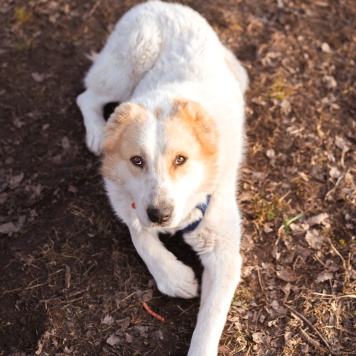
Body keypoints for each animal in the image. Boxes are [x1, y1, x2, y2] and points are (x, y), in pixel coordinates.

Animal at [76, 1, 248, 354]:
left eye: (181, 160)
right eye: (137, 161)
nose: (160, 214)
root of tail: (160, 4)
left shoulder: (224, 256)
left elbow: (208, 324)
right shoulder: (124, 199)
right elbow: (139, 235)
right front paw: (174, 277)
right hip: (124, 70)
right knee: (87, 97)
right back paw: (97, 132)